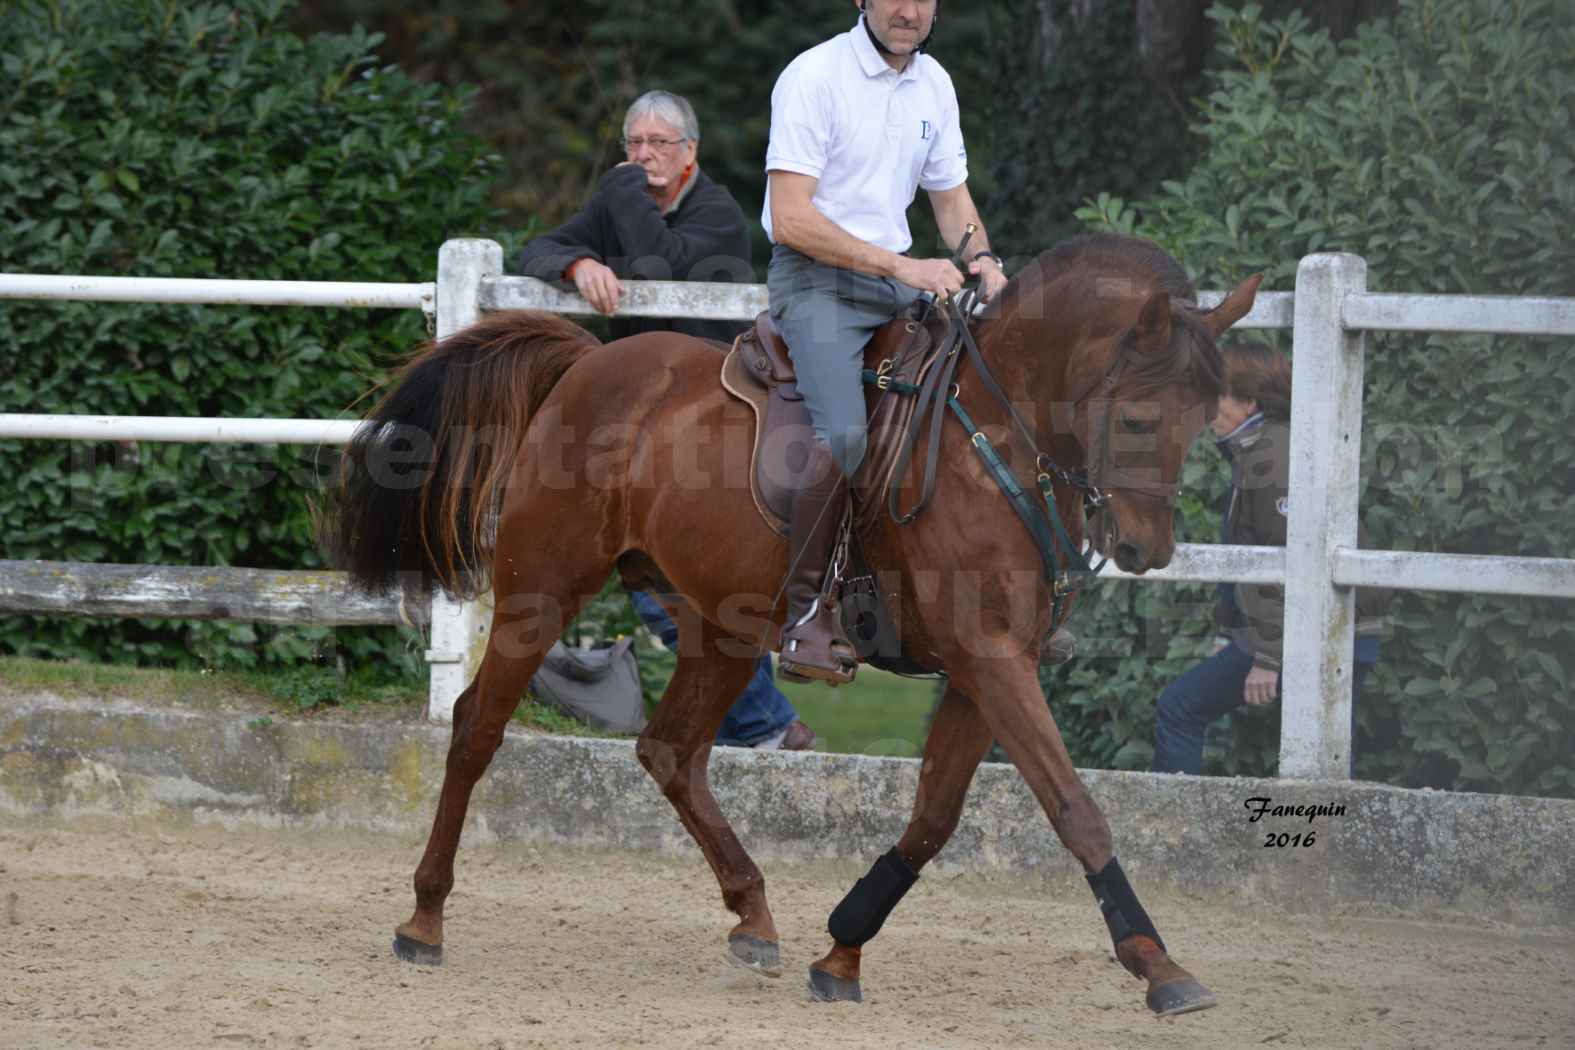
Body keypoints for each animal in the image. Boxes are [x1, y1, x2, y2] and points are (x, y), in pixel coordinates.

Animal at [322, 231, 1266, 1020]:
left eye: (1201, 420)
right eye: (1138, 416)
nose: (1146, 548)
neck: (993, 437)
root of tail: (591, 361)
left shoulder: (983, 668)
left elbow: (933, 818)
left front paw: (842, 950)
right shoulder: (992, 659)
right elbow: (1075, 809)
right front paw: (1157, 965)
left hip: (724, 627)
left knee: (669, 750)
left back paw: (752, 914)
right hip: (542, 590)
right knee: (477, 726)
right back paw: (424, 917)